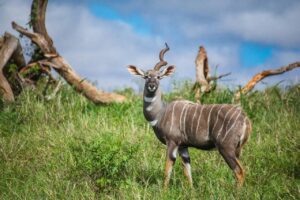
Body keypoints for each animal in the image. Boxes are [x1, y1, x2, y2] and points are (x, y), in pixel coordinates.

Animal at [126, 43, 251, 190]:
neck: (161, 112)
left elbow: (168, 169)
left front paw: (164, 191)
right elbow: (187, 171)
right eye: (146, 76)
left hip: (226, 148)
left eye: (159, 77)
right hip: (236, 150)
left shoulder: (172, 141)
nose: (151, 85)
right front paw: (191, 191)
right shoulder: (183, 146)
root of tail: (245, 119)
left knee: (239, 171)